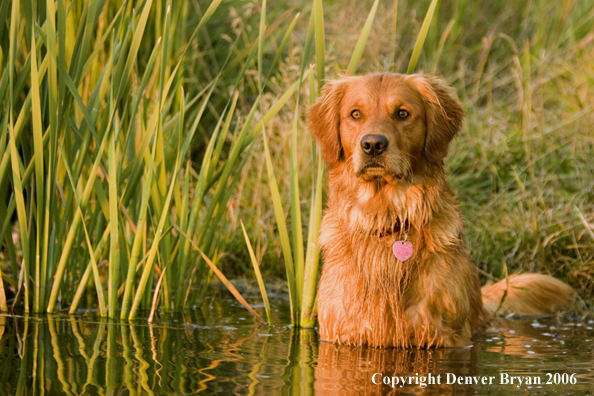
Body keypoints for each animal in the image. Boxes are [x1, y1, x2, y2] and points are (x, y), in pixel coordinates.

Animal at [308, 72, 576, 348]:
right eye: (355, 114)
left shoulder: (447, 336)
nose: (373, 144)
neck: (387, 217)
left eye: (402, 113)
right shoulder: (342, 332)